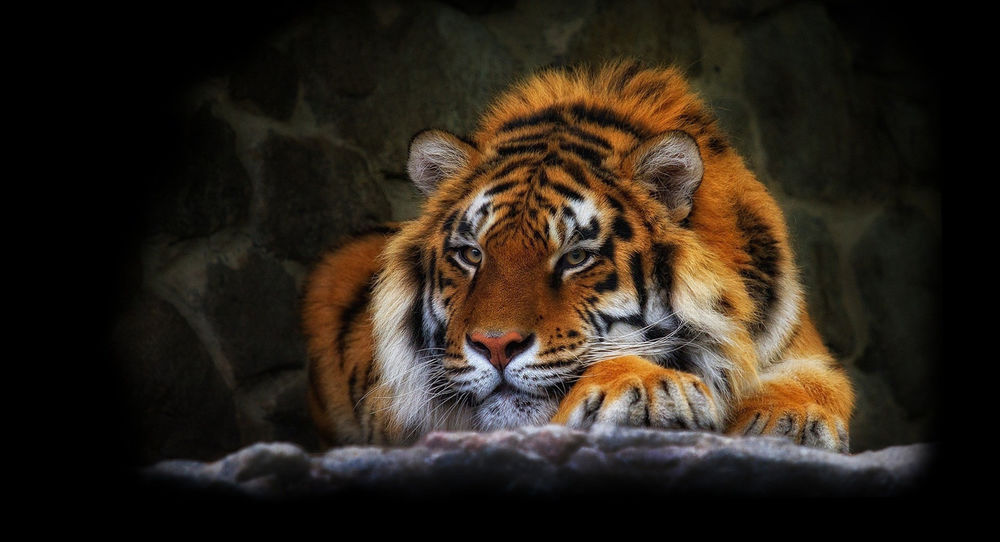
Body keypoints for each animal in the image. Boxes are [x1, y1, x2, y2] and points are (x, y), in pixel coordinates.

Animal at [303, 60, 854, 453]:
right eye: (471, 254)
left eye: (575, 258)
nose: (495, 346)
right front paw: (648, 387)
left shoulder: (800, 347)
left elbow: (817, 383)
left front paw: (788, 420)